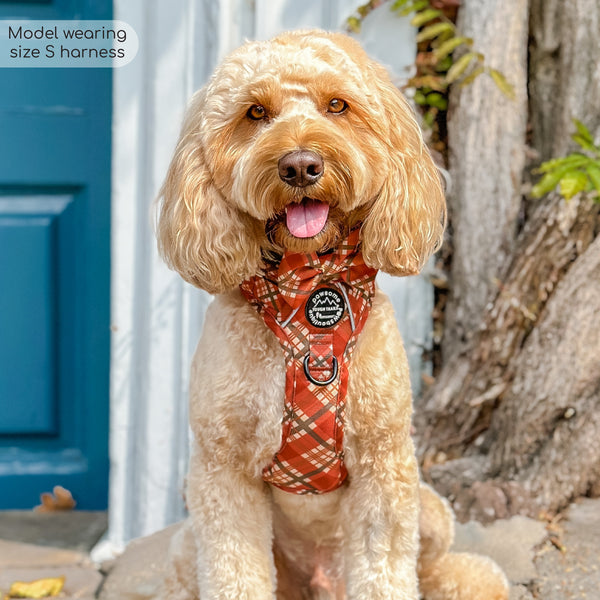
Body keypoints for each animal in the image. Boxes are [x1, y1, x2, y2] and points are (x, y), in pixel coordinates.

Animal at [157, 30, 508, 600]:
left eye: (338, 105)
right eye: (256, 112)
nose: (300, 165)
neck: (308, 290)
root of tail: (321, 582)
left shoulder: (385, 466)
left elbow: (387, 570)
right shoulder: (221, 469)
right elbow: (235, 570)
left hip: (429, 508)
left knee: (434, 566)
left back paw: (472, 579)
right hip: (187, 546)